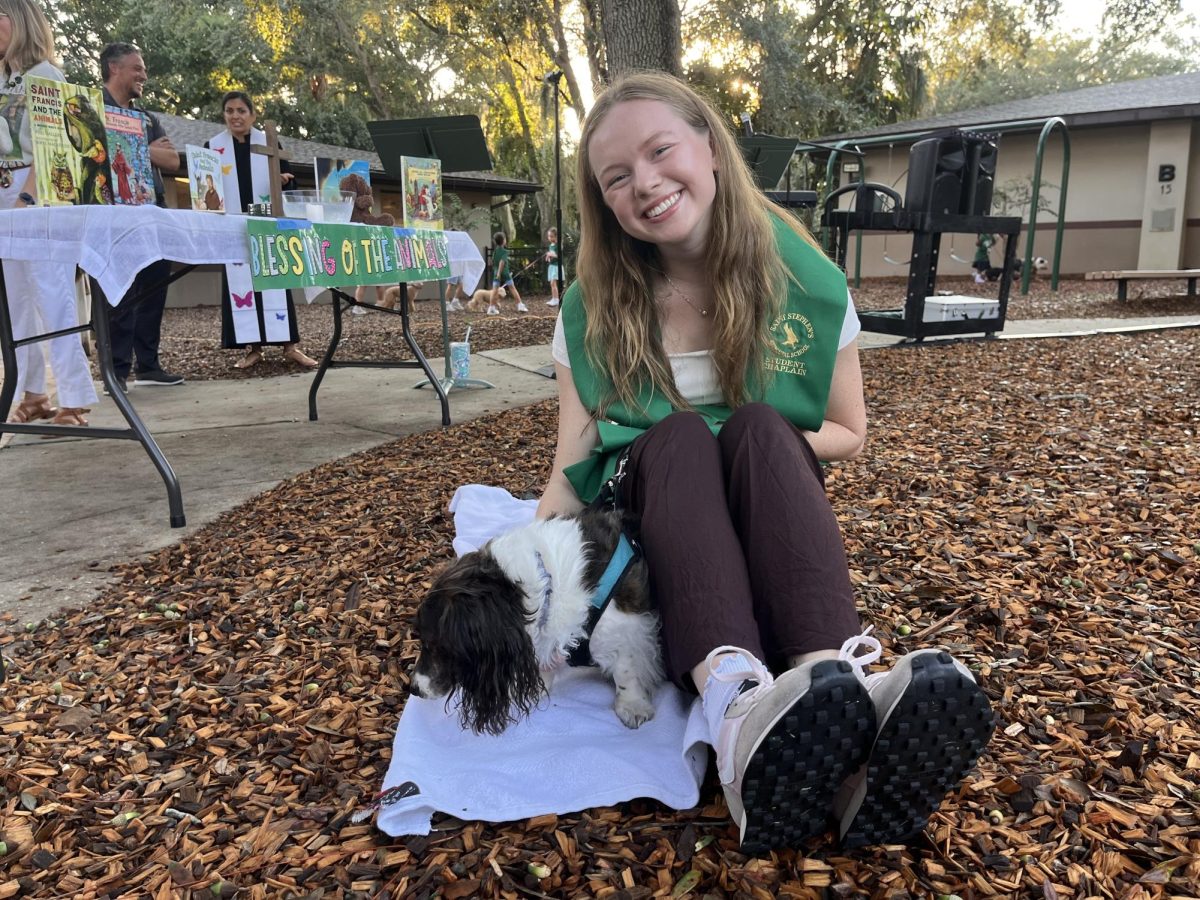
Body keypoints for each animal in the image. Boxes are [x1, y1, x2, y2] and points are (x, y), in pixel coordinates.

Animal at [412, 511, 667, 734]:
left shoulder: (626, 625)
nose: (414, 689)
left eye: (434, 646)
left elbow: (626, 668)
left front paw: (633, 705)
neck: (545, 586)